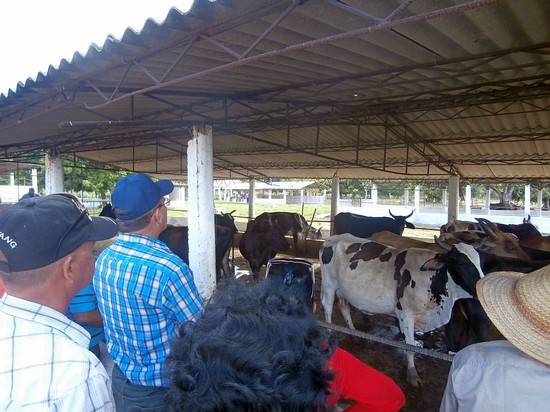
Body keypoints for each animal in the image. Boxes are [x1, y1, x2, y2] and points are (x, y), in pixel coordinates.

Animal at [322, 233, 486, 388]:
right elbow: (410, 346)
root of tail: (334, 237)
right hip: (329, 285)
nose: (480, 288)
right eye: (461, 263)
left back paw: (353, 331)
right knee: (328, 308)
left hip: (342, 290)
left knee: (344, 307)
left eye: (480, 263)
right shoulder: (406, 314)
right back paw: (330, 335)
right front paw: (412, 375)